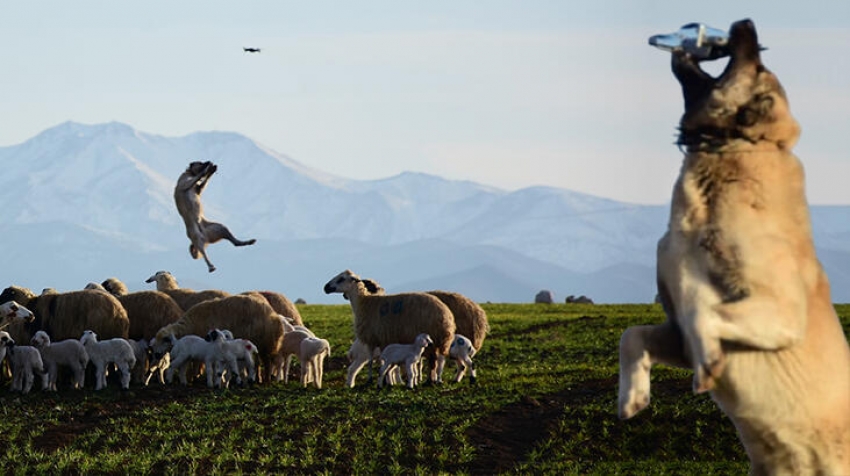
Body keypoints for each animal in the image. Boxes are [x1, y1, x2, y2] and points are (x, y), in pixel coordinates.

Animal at [151, 294, 284, 384]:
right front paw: (196, 377)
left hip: (266, 343)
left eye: (165, 339)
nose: (156, 355)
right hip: (260, 345)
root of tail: (275, 316)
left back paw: (266, 380)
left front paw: (194, 377)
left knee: (267, 363)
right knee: (258, 363)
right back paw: (258, 379)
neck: (191, 324)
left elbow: (197, 363)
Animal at [324, 270, 458, 384]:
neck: (364, 303)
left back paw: (430, 381)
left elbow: (373, 361)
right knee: (434, 361)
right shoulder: (379, 340)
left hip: (433, 337)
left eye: (341, 279)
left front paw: (375, 380)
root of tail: (447, 316)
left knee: (432, 361)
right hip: (435, 341)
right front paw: (384, 380)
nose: (325, 287)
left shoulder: (374, 339)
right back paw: (431, 380)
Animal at [616, 19, 848, 476]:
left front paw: (708, 366)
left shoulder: (780, 310)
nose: (747, 24)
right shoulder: (676, 333)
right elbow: (632, 335)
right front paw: (632, 396)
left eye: (756, 65)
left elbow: (705, 311)